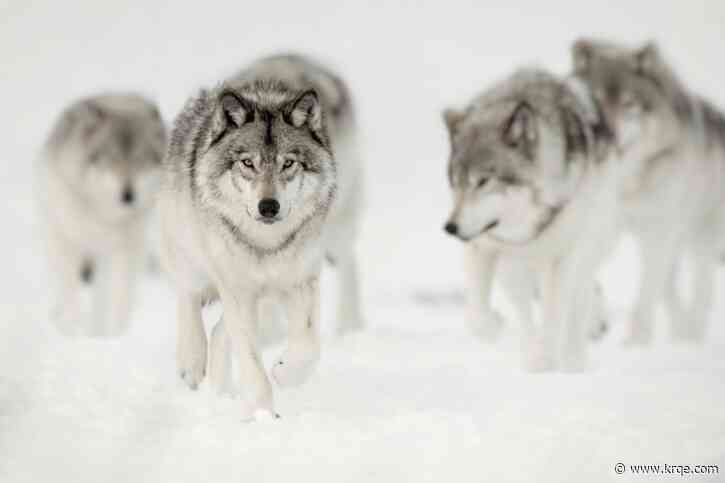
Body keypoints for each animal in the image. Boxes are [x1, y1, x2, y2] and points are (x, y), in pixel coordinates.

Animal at [37, 93, 167, 336]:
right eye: (112, 159)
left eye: (140, 160)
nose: (128, 195)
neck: (101, 212)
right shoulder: (69, 245)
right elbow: (70, 295)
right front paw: (72, 332)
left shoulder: (114, 252)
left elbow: (111, 299)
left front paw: (107, 334)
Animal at [158, 54, 363, 418]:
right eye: (248, 163)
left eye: (288, 163)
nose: (268, 206)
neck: (267, 246)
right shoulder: (238, 290)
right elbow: (251, 365)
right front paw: (263, 416)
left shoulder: (301, 281)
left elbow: (308, 344)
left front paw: (284, 372)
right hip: (190, 256)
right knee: (189, 298)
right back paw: (192, 362)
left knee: (220, 332)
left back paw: (220, 392)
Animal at [442, 69, 619, 371]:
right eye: (456, 182)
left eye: (483, 181)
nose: (450, 228)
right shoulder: (484, 247)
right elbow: (478, 317)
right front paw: (497, 328)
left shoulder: (562, 258)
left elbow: (556, 313)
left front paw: (548, 359)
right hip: (515, 267)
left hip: (584, 250)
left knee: (579, 300)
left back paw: (574, 358)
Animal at [572, 39, 725, 344]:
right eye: (594, 100)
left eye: (627, 104)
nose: (607, 134)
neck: (624, 183)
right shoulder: (600, 230)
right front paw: (593, 321)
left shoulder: (657, 235)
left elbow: (645, 298)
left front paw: (636, 344)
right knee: (669, 289)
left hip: (699, 239)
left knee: (697, 293)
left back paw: (690, 335)